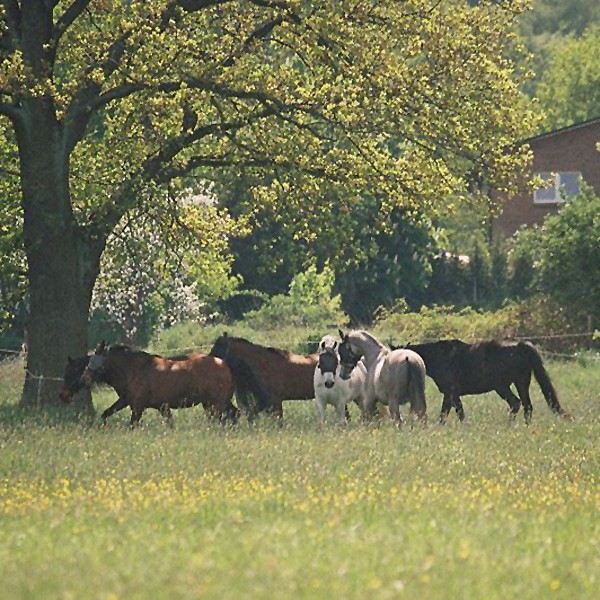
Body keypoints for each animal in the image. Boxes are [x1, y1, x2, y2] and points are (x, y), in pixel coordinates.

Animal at [78, 342, 270, 426]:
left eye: (95, 362)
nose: (83, 379)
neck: (135, 369)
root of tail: (224, 362)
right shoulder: (139, 403)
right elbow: (106, 413)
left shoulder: (138, 406)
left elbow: (132, 424)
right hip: (214, 402)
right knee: (233, 415)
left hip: (217, 402)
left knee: (228, 416)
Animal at [400, 340, 568, 424]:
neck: (440, 357)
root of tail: (521, 346)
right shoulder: (449, 394)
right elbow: (446, 413)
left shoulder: (451, 392)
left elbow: (457, 412)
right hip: (521, 383)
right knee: (527, 406)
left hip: (502, 386)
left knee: (516, 403)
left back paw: (509, 425)